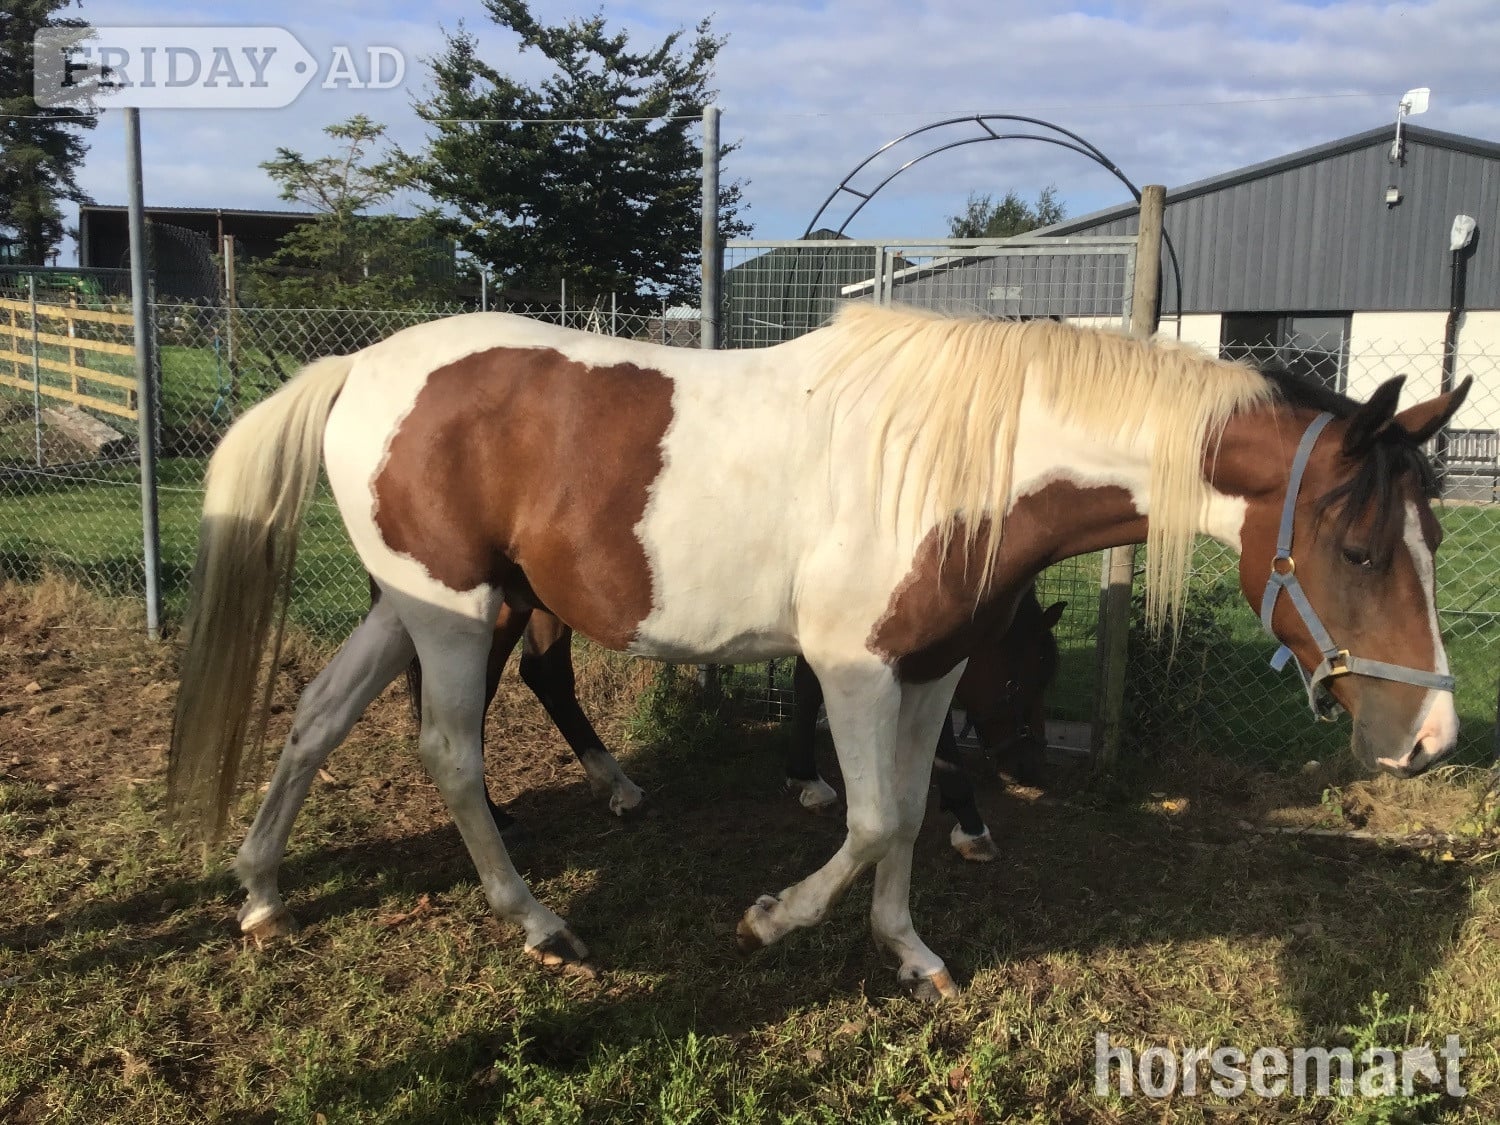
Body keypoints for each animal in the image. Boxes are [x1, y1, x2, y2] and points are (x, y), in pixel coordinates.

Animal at [399, 586, 1065, 863]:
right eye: (1017, 682)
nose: (1031, 769)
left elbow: (805, 687)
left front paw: (806, 778)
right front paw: (970, 821)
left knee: (545, 675)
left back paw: (616, 786)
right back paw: (496, 813)